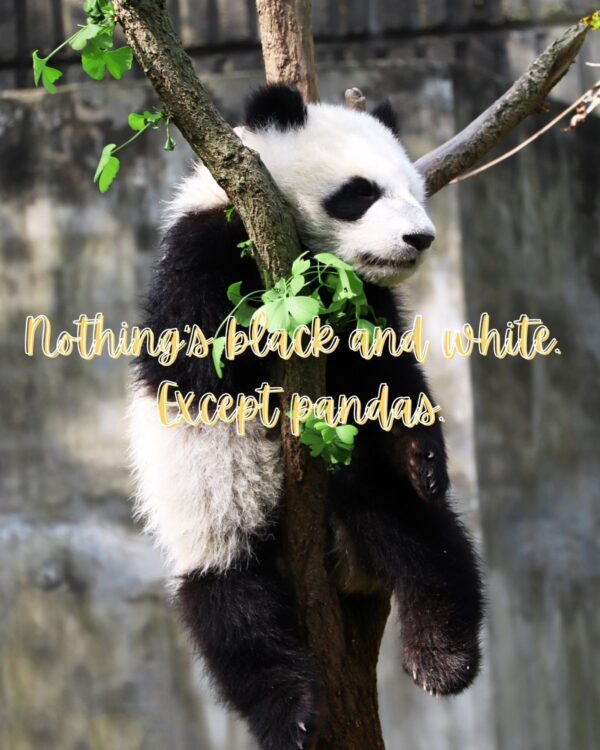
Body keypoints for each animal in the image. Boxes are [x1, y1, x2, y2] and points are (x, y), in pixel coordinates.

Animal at [128, 84, 484, 750]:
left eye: (414, 190)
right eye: (360, 192)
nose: (420, 238)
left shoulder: (364, 303)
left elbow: (385, 377)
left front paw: (423, 454)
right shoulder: (206, 251)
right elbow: (206, 362)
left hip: (363, 496)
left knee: (422, 535)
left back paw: (443, 657)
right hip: (215, 530)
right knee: (233, 615)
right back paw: (289, 713)